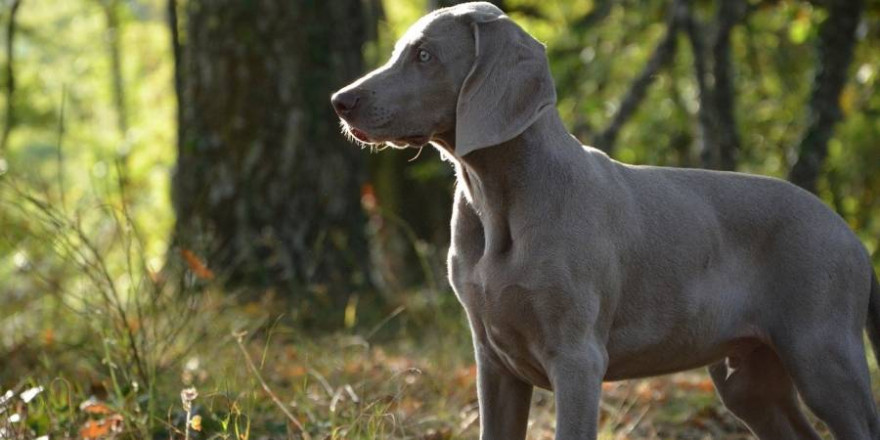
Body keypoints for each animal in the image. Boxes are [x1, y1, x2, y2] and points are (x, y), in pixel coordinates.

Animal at [330, 1, 880, 438]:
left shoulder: (577, 358)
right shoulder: (493, 362)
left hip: (823, 351)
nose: (340, 100)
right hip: (749, 377)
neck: (497, 199)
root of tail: (849, 234)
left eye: (425, 56)